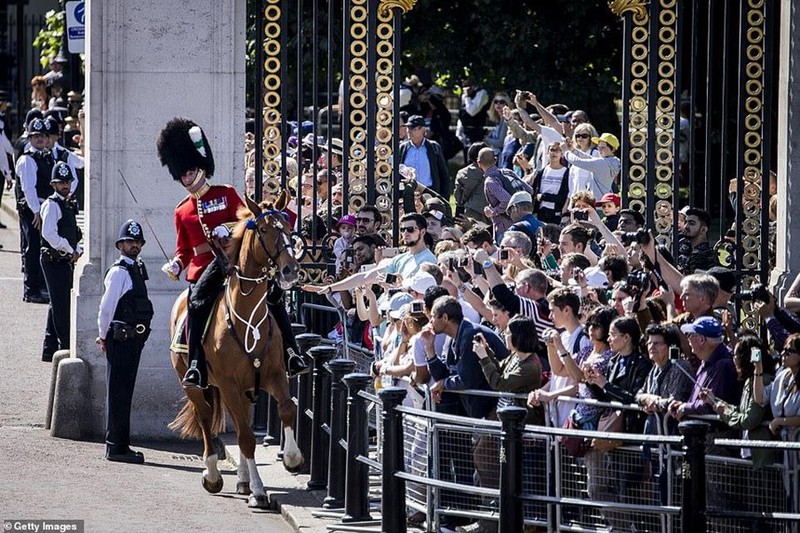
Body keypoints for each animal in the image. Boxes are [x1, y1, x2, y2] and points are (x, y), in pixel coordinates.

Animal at [169, 191, 304, 508]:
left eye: (288, 228)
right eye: (264, 230)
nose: (290, 270)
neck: (247, 317)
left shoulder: (274, 374)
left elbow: (287, 408)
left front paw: (292, 458)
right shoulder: (229, 383)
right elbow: (245, 437)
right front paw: (258, 490)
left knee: (235, 418)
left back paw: (241, 479)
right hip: (194, 384)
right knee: (206, 418)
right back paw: (213, 475)